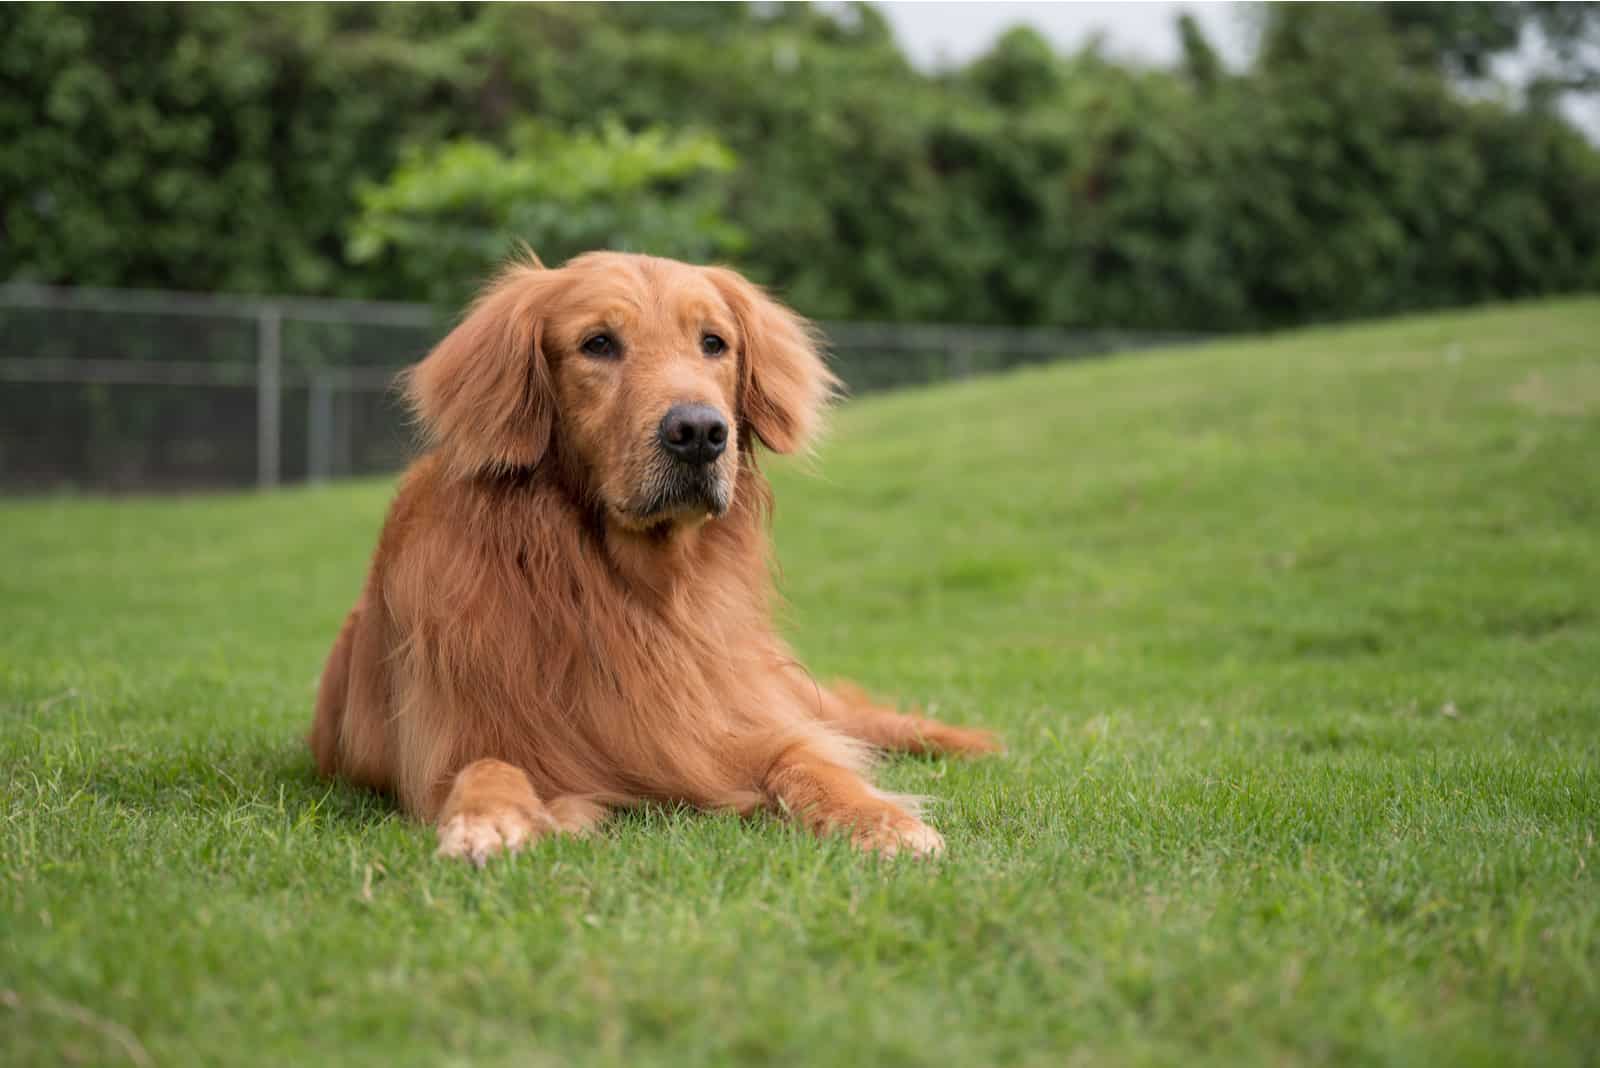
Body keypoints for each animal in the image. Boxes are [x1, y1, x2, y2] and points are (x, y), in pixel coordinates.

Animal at [305, 254, 992, 863]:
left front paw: (880, 820)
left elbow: (810, 759)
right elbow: (487, 764)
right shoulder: (455, 741)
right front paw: (489, 821)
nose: (700, 433)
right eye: (598, 344)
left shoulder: (730, 722)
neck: (635, 591)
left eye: (714, 343)